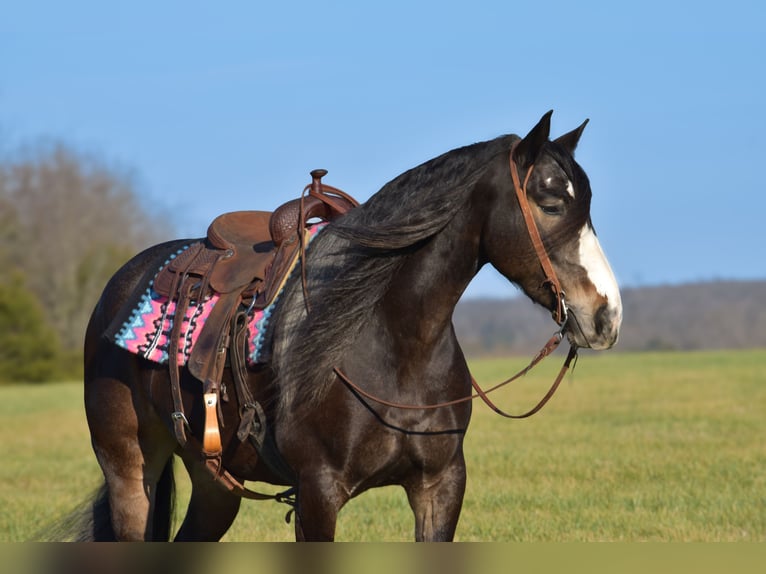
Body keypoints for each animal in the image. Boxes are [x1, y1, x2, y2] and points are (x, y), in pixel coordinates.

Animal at [75, 109, 620, 544]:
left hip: (213, 483)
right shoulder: (319, 493)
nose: (607, 316)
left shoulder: (441, 486)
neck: (392, 343)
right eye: (551, 203)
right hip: (129, 470)